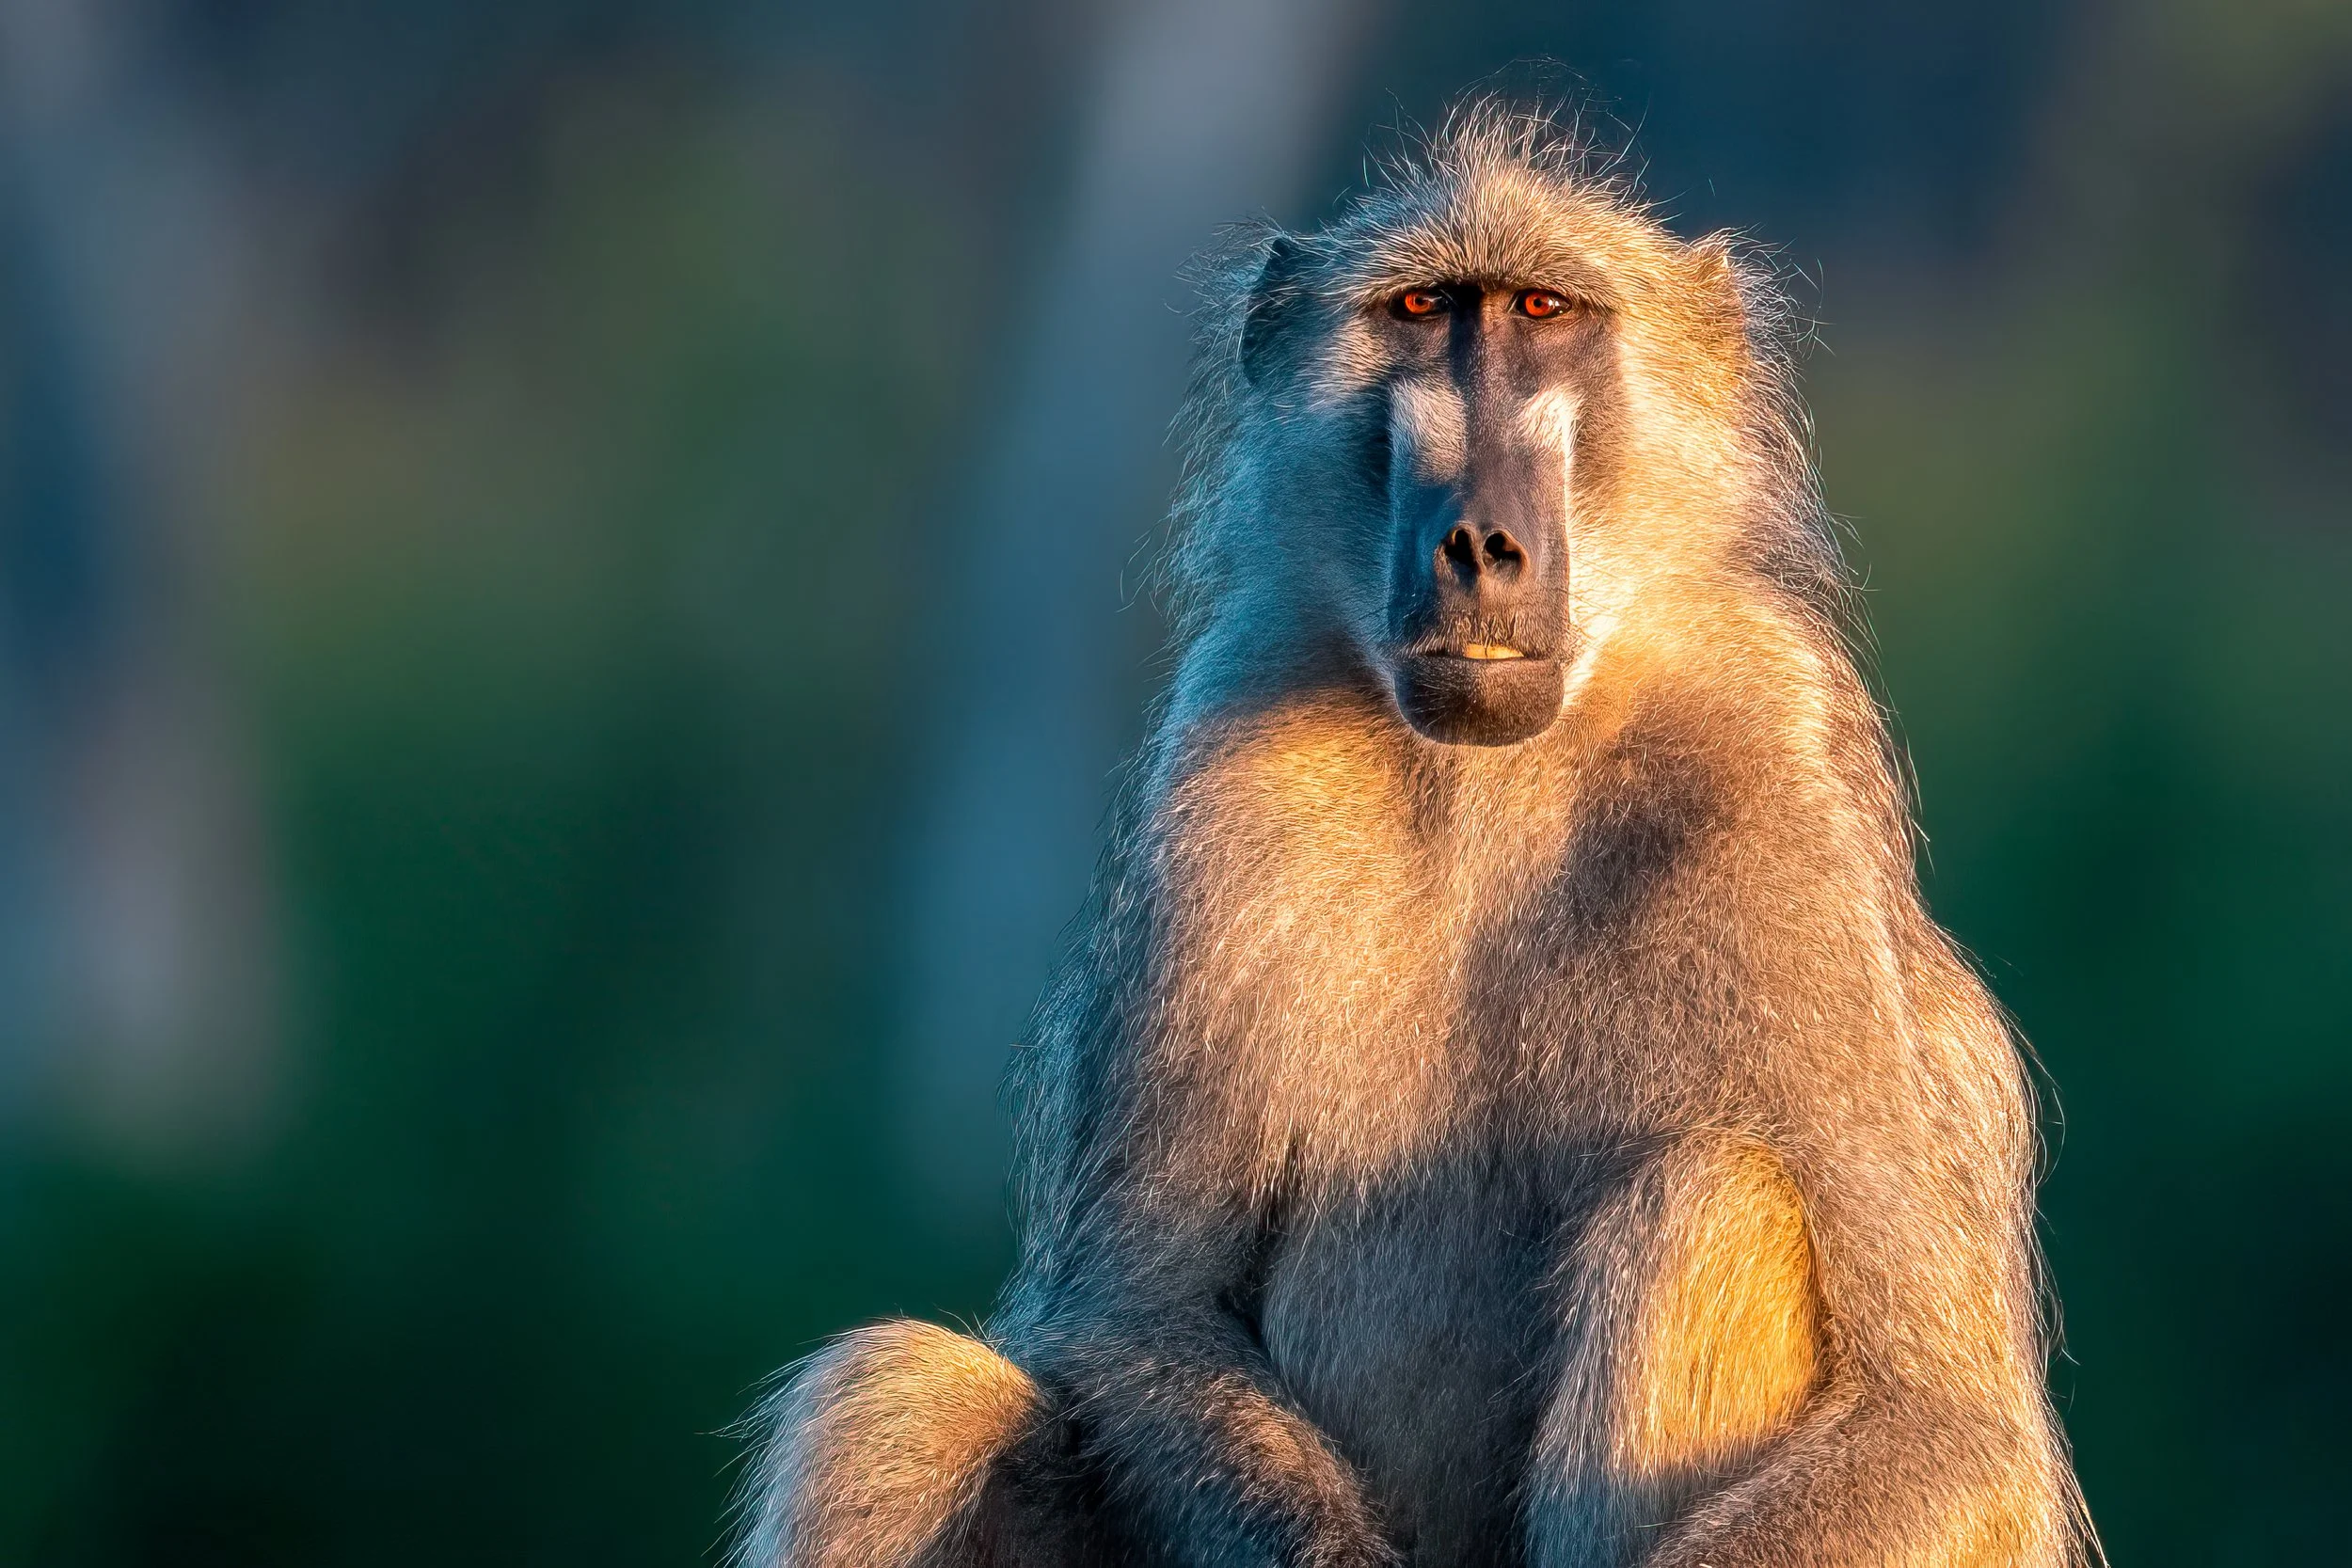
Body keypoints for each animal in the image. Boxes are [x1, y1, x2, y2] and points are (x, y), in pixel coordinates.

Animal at [734, 102, 2096, 1568]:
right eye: (1422, 309)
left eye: (1545, 311)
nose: (1479, 542)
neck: (1497, 777)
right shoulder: (1223, 786)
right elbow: (1140, 1309)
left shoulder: (1781, 800)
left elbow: (1941, 1415)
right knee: (899, 1395)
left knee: (1717, 1198)